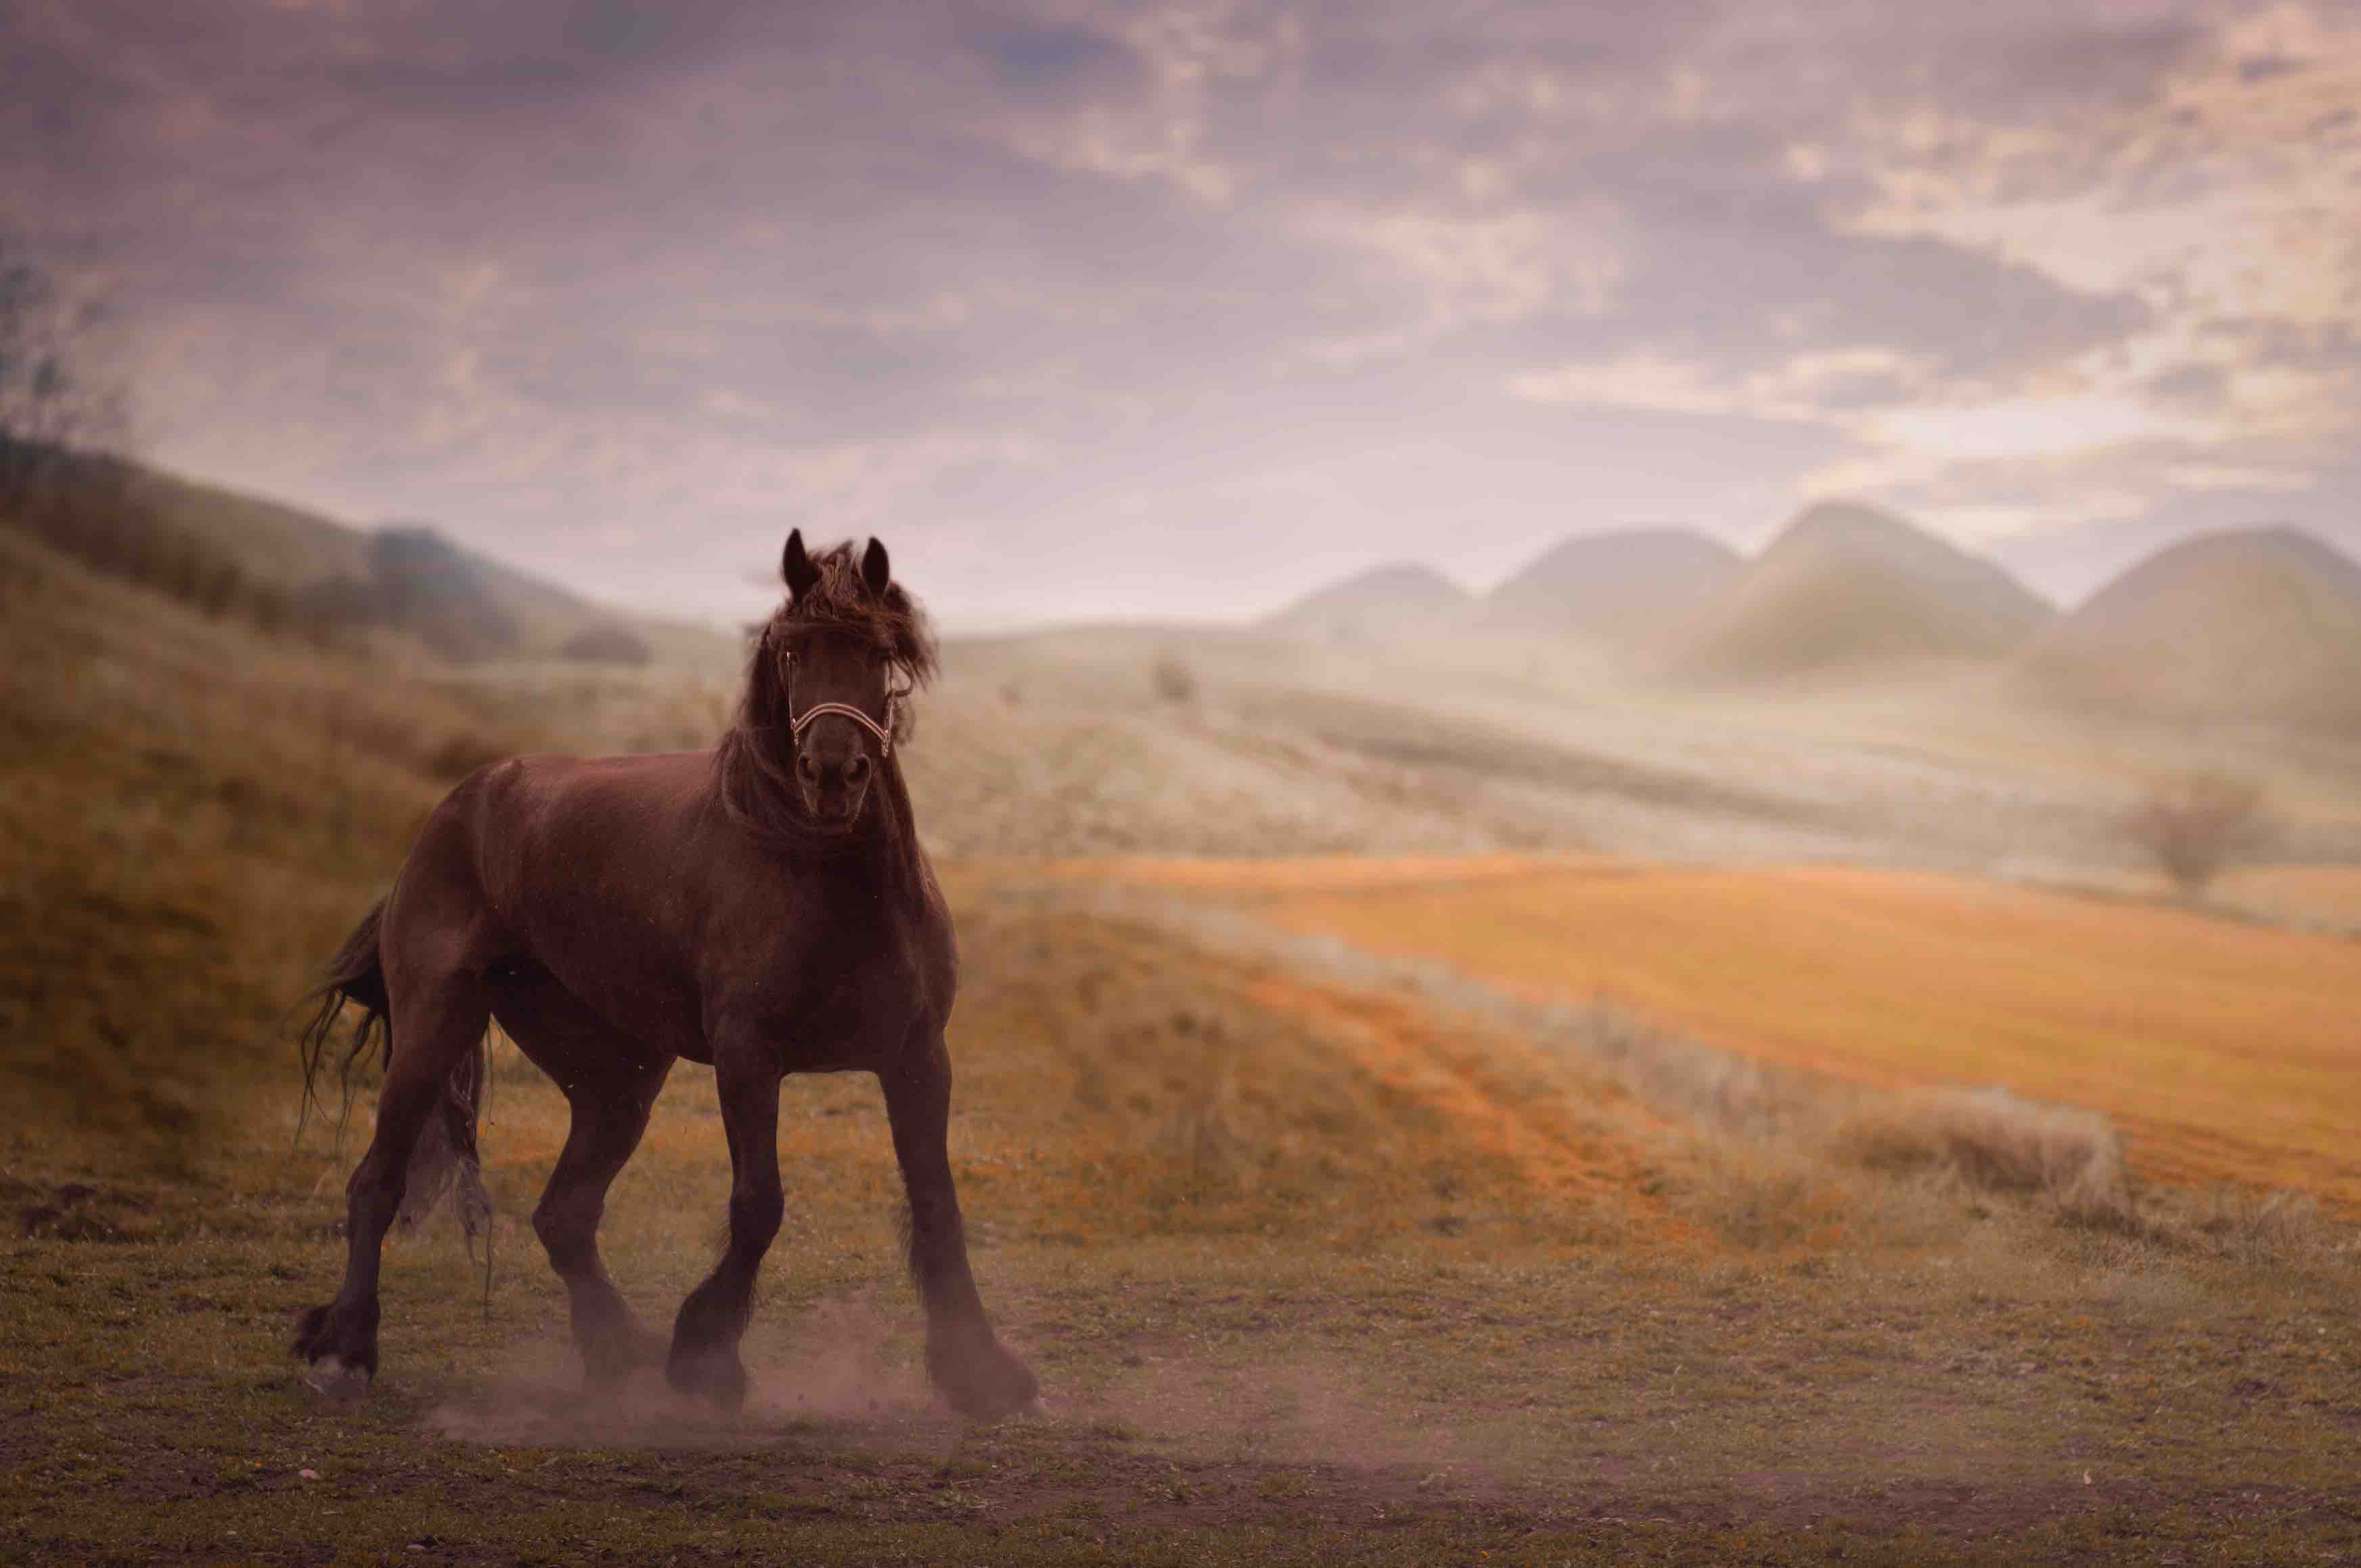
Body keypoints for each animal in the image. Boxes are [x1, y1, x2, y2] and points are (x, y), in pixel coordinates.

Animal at [288, 529, 1043, 1416]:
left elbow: (937, 1204)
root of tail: (457, 807)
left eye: (881, 655)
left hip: (619, 1079)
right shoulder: (750, 1058)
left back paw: (618, 1351)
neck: (817, 872)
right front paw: (707, 1354)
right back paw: (345, 1349)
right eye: (792, 653)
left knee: (564, 1214)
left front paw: (980, 1370)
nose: (832, 773)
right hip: (435, 1029)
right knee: (378, 1182)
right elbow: (759, 1205)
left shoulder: (918, 1057)